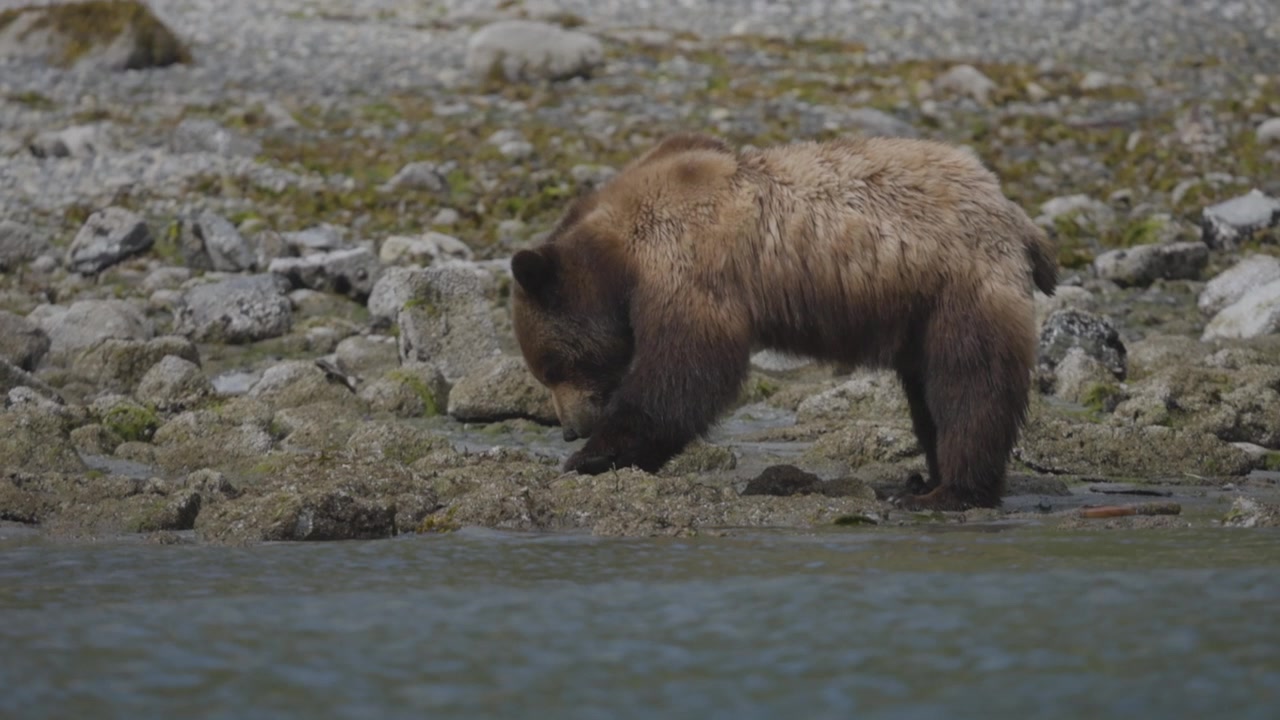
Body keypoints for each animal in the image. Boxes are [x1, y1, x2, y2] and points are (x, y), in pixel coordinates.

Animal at [510, 132, 1057, 511]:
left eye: (553, 366)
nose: (569, 430)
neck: (620, 258)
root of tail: (1016, 216)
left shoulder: (688, 268)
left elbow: (683, 373)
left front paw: (593, 458)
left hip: (959, 285)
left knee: (970, 384)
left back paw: (950, 491)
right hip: (922, 310)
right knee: (929, 394)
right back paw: (929, 477)